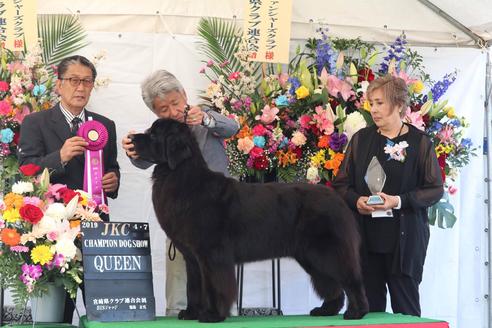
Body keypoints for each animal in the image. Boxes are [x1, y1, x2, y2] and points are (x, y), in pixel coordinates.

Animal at [132, 118, 368, 322]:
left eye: (153, 134)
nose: (132, 138)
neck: (180, 176)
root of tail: (336, 198)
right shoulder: (192, 257)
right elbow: (193, 287)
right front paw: (191, 313)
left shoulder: (212, 254)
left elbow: (214, 285)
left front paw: (212, 315)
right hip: (310, 255)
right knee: (331, 283)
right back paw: (326, 310)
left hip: (327, 251)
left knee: (350, 279)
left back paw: (356, 312)